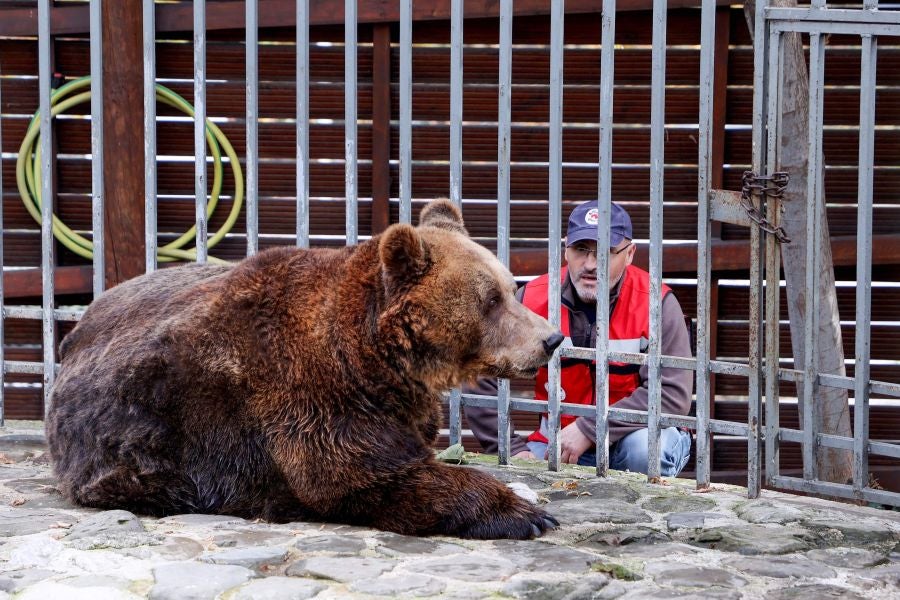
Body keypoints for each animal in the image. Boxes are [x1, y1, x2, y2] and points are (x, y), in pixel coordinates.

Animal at [47, 199, 565, 539]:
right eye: (491, 299)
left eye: (509, 289)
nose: (551, 339)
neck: (375, 360)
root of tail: (74, 333)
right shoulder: (310, 396)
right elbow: (365, 473)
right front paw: (523, 512)